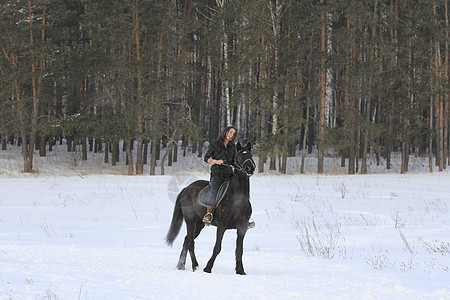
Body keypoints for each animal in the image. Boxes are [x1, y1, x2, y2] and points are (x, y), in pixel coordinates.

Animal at [166, 142, 256, 276]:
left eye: (250, 155)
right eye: (239, 156)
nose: (250, 168)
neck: (237, 201)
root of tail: (186, 188)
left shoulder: (242, 228)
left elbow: (239, 249)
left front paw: (240, 271)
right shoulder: (221, 227)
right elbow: (217, 248)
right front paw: (208, 268)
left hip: (199, 224)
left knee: (187, 240)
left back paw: (181, 265)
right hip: (190, 221)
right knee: (190, 242)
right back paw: (195, 266)